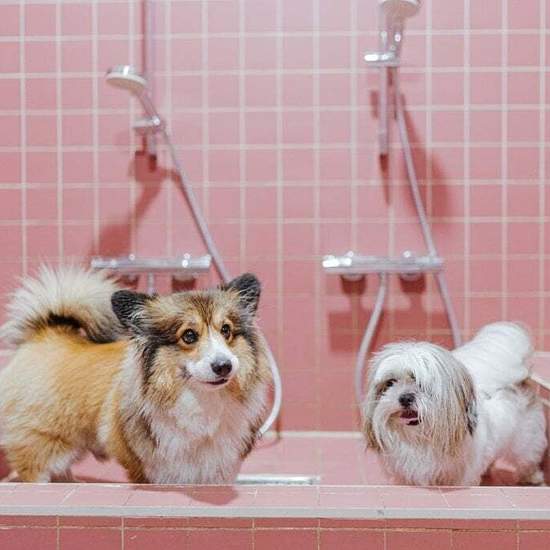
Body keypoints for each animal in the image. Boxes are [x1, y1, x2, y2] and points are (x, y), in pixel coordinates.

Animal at [0, 266, 271, 483]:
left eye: (226, 330)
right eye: (189, 335)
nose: (224, 366)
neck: (202, 404)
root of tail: (47, 332)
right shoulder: (150, 470)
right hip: (42, 450)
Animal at [362, 322, 547, 486]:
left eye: (423, 384)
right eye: (390, 383)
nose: (405, 397)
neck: (420, 439)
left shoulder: (462, 475)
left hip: (525, 440)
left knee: (528, 457)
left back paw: (533, 477)